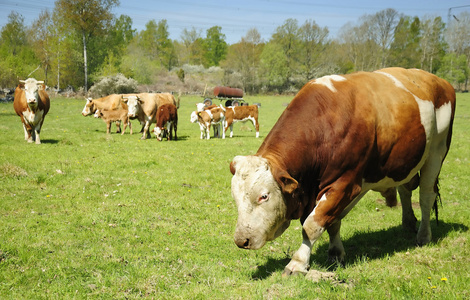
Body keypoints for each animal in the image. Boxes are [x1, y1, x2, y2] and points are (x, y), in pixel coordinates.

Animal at [229, 68, 456, 276]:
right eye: (235, 198)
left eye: (264, 196)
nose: (241, 240)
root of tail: (441, 82)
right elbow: (331, 221)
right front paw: (336, 253)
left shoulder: (344, 183)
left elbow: (312, 225)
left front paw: (298, 262)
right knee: (406, 190)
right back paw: (408, 222)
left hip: (436, 153)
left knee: (426, 196)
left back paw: (423, 235)